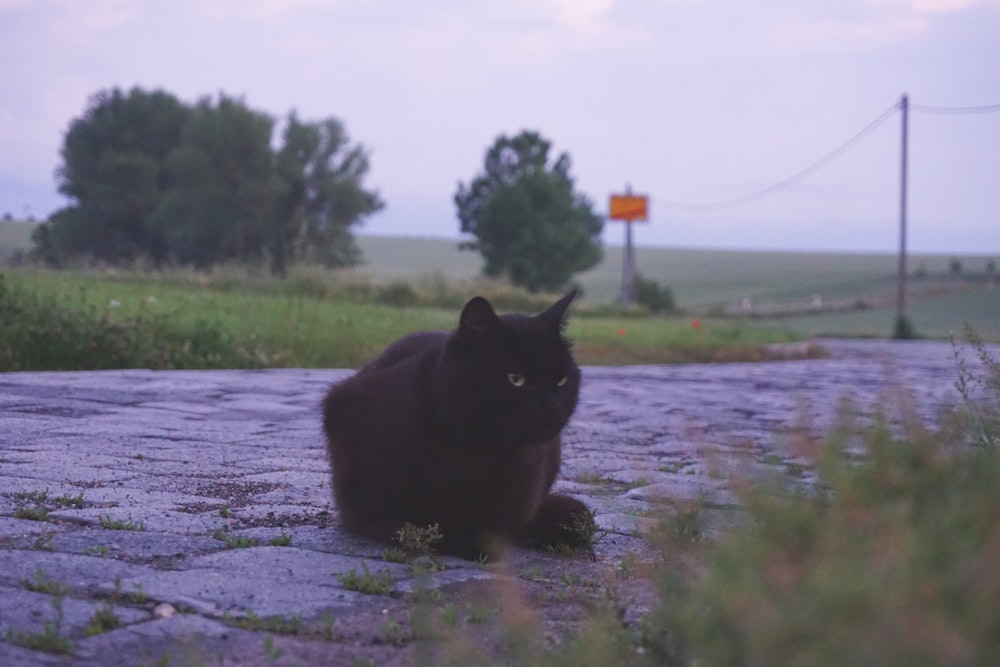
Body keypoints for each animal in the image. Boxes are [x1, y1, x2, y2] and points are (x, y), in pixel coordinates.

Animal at [322, 292, 592, 560]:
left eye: (561, 380)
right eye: (516, 379)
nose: (552, 405)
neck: (480, 448)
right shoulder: (348, 415)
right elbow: (379, 509)